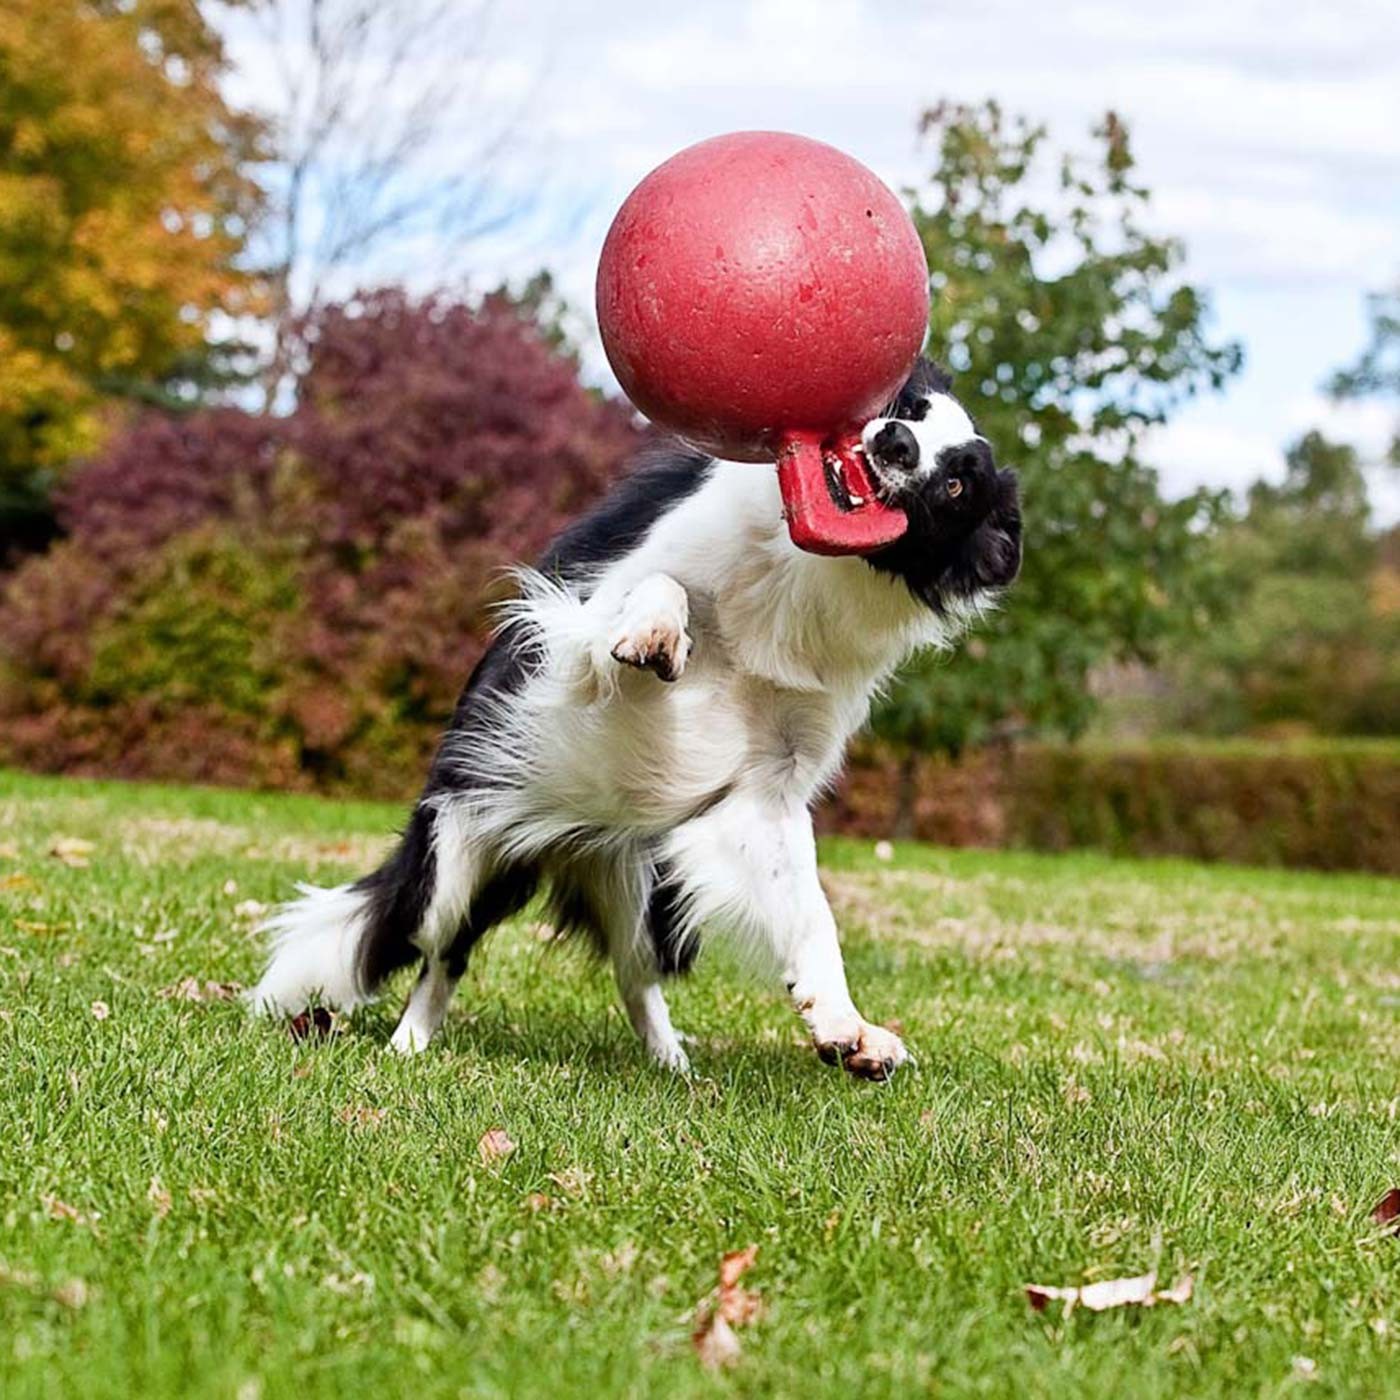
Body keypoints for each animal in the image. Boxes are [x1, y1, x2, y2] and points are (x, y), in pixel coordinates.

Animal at [249, 361, 1019, 1080]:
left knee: (632, 975)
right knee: (441, 953)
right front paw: (656, 632)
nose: (893, 443)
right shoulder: (575, 633)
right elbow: (660, 586)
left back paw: (673, 1064)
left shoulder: (769, 786)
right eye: (907, 408)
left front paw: (846, 1026)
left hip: (649, 891)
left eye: (957, 485)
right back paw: (407, 1046)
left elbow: (809, 909)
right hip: (457, 853)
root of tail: (564, 842)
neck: (797, 572)